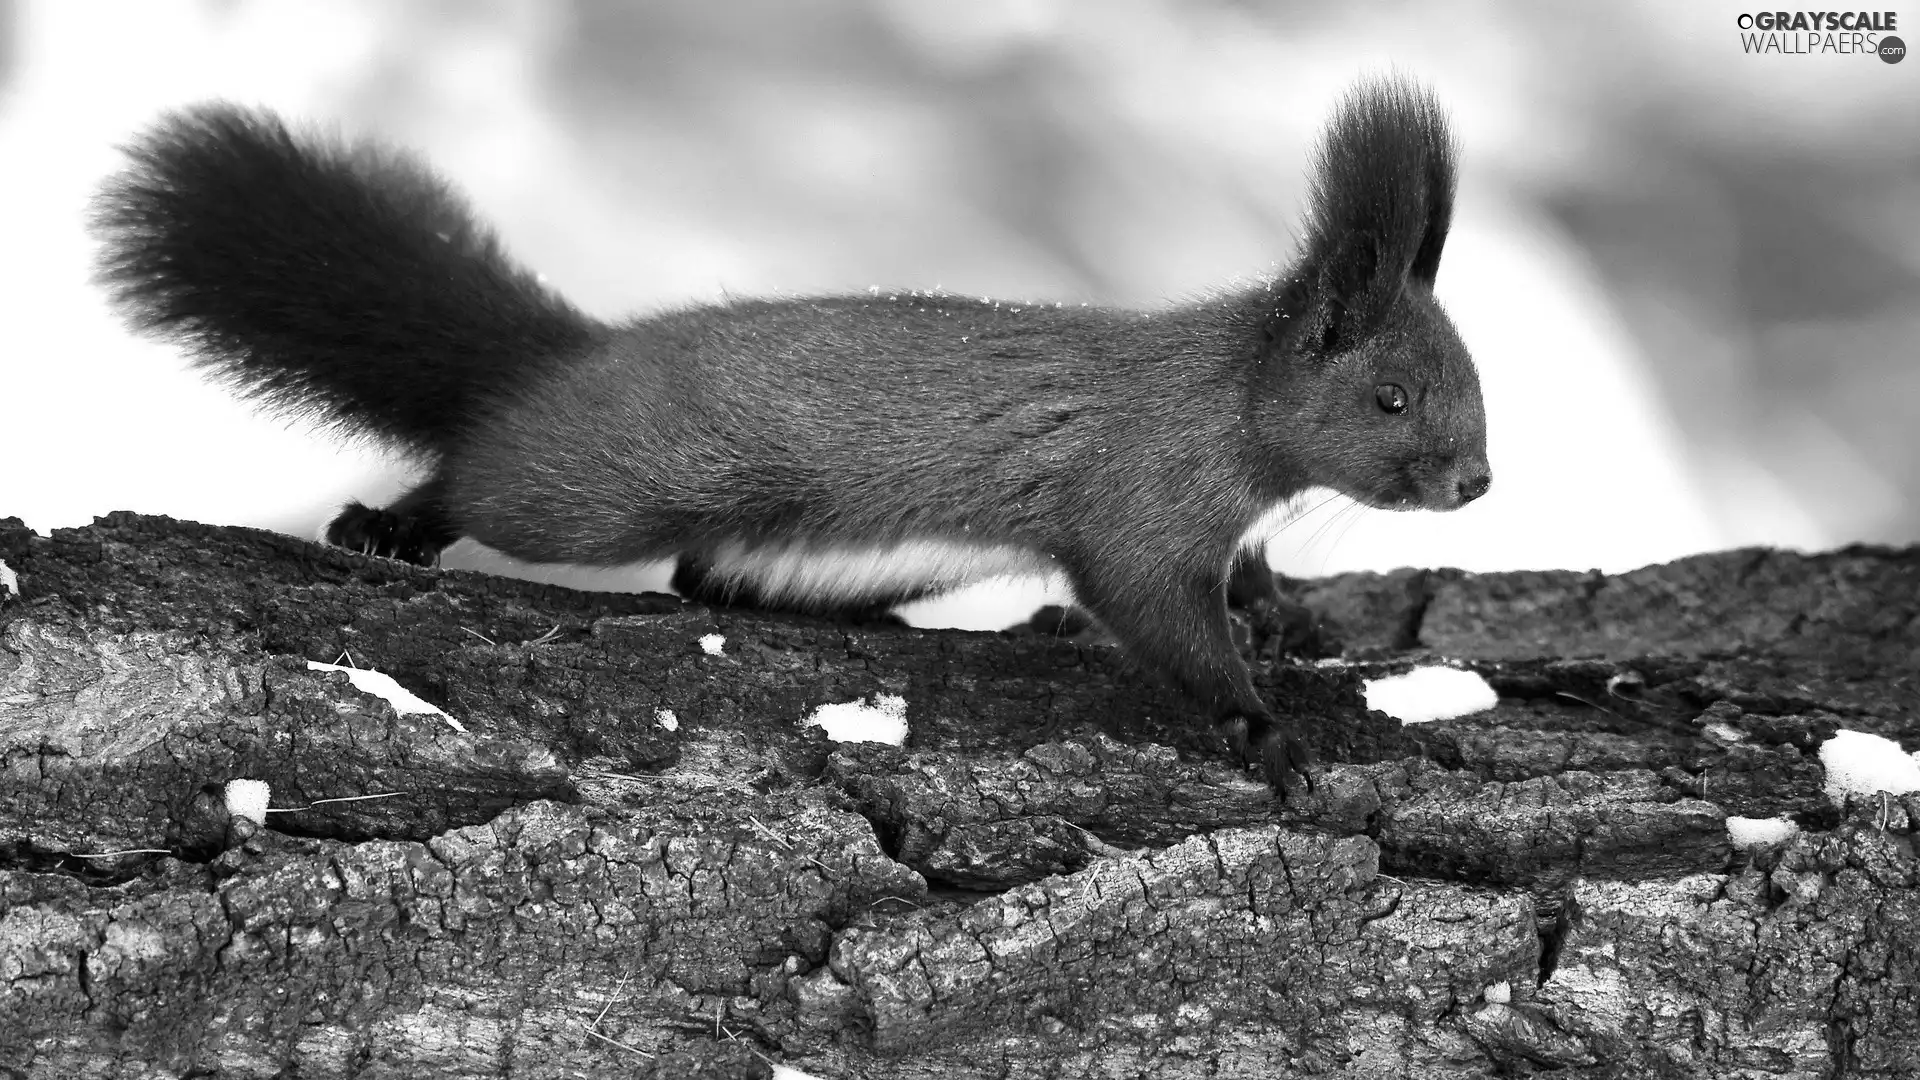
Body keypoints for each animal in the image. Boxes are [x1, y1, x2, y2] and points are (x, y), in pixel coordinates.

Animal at [93, 77, 1482, 791]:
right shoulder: (1139, 496)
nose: (1476, 481)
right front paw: (1264, 727)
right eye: (1391, 398)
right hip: (601, 486)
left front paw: (1287, 616)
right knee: (493, 481)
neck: (1226, 409)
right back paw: (388, 525)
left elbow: (1241, 582)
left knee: (705, 575)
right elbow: (1157, 614)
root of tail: (571, 360)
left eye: (1472, 376)